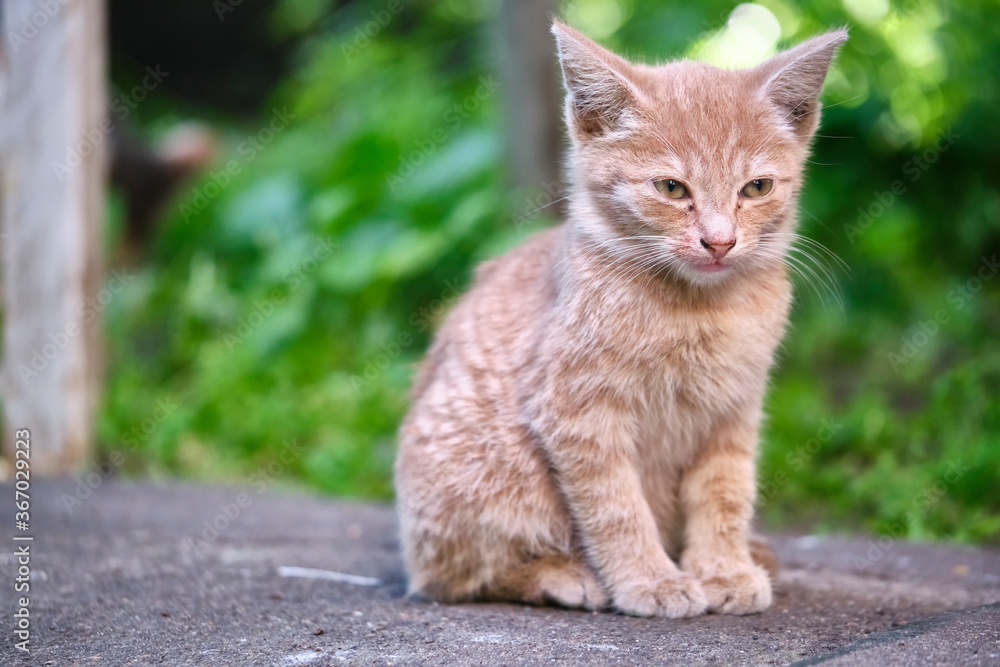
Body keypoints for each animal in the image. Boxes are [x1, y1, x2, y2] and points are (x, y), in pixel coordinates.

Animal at [394, 22, 848, 620]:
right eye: (672, 188)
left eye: (756, 188)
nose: (720, 241)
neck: (696, 309)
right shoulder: (576, 412)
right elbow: (616, 506)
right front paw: (650, 579)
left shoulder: (733, 411)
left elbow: (725, 493)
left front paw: (722, 568)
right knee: (450, 577)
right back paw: (560, 575)